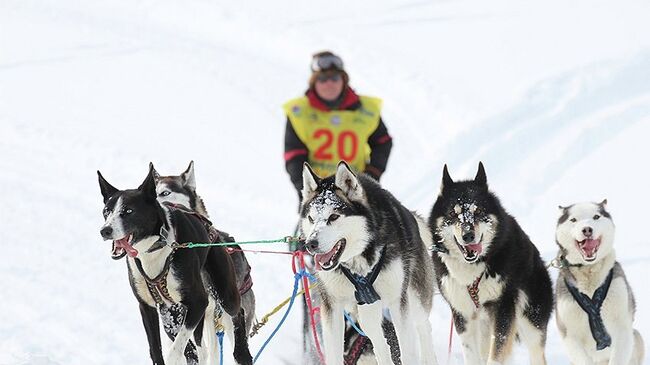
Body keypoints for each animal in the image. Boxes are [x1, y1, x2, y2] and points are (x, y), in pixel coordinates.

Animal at [298, 161, 436, 364]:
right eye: (311, 218)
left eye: (333, 217)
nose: (310, 244)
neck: (358, 262)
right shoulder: (332, 305)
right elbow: (334, 353)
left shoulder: (398, 301)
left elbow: (408, 351)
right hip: (365, 310)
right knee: (378, 340)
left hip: (414, 300)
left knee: (423, 327)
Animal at [428, 164, 548, 364]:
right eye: (453, 213)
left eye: (478, 211)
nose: (468, 235)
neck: (472, 271)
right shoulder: (462, 314)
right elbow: (471, 354)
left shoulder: (503, 308)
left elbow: (497, 352)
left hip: (530, 319)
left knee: (536, 351)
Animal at [552, 200, 644, 362]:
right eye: (573, 220)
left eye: (596, 217)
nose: (587, 229)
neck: (589, 273)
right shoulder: (569, 336)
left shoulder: (623, 329)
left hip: (637, 337)